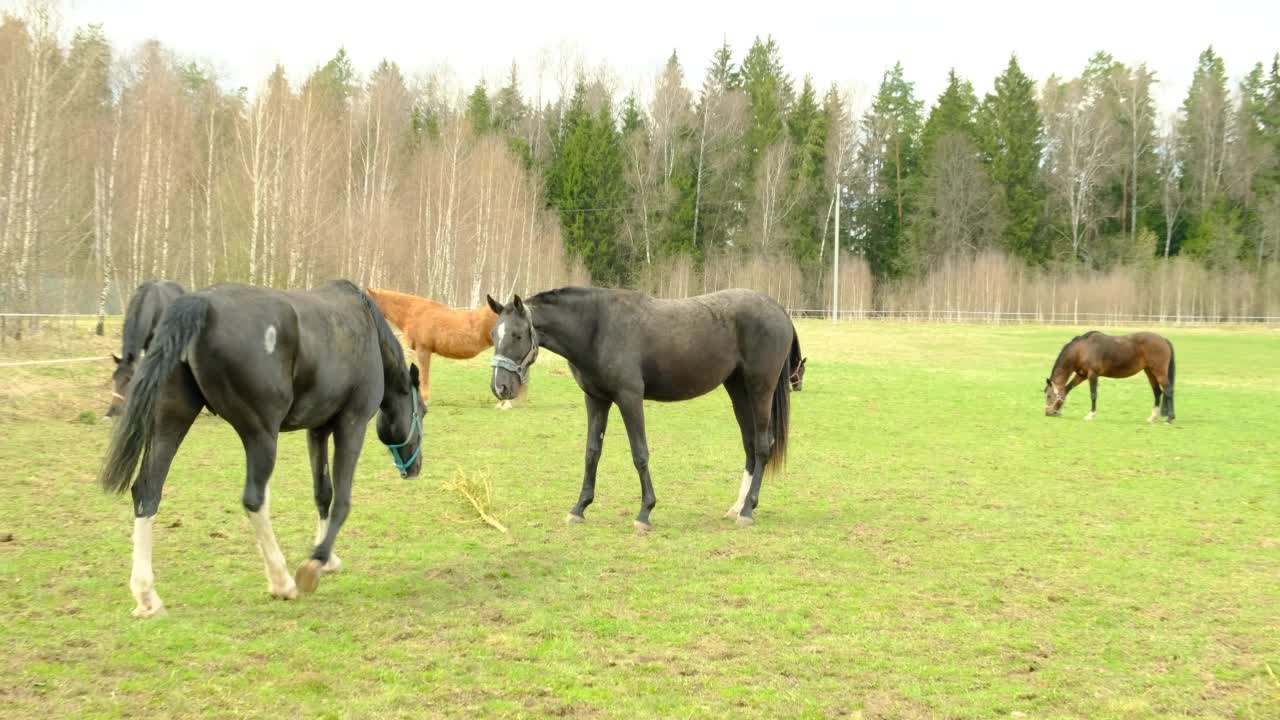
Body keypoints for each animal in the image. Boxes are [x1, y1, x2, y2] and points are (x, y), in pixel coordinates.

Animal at [483, 284, 793, 527]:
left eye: (517, 335)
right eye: (493, 334)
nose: (500, 387)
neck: (597, 328)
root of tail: (778, 310)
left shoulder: (629, 398)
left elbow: (640, 454)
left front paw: (645, 512)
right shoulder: (596, 399)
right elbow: (592, 452)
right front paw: (580, 508)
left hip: (760, 388)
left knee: (763, 445)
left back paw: (748, 510)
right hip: (738, 389)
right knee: (750, 445)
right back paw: (738, 507)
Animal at [1044, 330, 1172, 422]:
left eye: (1049, 396)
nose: (1047, 413)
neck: (1082, 350)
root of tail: (1163, 340)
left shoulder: (1092, 375)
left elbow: (1093, 395)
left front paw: (1091, 415)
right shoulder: (1081, 375)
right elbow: (1067, 389)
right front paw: (1059, 411)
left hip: (1159, 372)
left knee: (1168, 391)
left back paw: (1170, 419)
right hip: (1150, 372)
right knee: (1157, 392)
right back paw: (1153, 418)